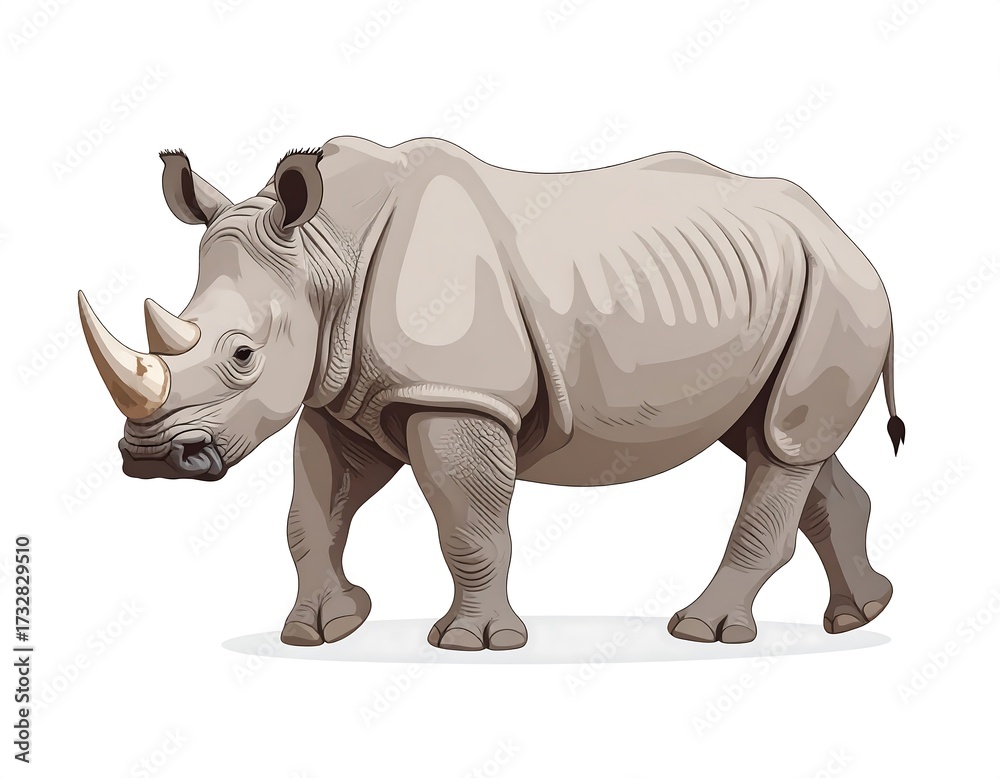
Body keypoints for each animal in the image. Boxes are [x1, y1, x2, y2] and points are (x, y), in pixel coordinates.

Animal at [79, 136, 904, 650]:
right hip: (783, 286)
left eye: (243, 355)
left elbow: (468, 525)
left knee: (784, 444)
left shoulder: (456, 394)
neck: (324, 255)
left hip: (837, 288)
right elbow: (311, 512)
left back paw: (701, 631)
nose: (149, 457)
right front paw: (320, 630)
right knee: (779, 440)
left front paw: (473, 643)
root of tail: (845, 233)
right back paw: (861, 615)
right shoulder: (341, 394)